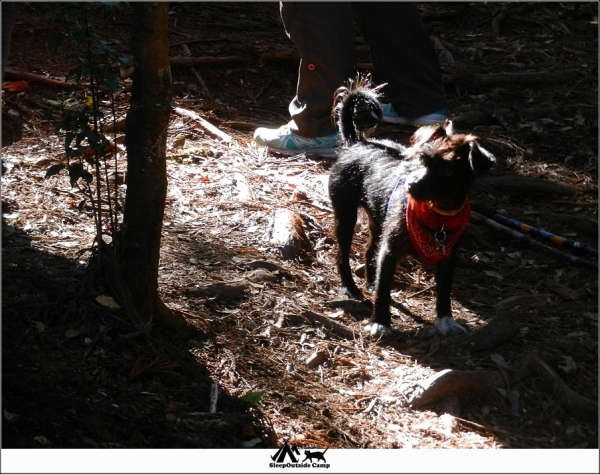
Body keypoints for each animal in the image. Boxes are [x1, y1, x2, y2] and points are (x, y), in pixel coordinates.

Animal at [328, 77, 496, 336]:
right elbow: (384, 288)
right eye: (422, 160)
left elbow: (444, 291)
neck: (438, 215)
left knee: (368, 251)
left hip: (378, 222)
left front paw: (445, 321)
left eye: (446, 170)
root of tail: (355, 143)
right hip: (345, 215)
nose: (411, 184)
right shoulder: (390, 250)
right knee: (342, 256)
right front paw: (380, 322)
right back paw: (351, 288)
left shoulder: (448, 256)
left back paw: (369, 282)